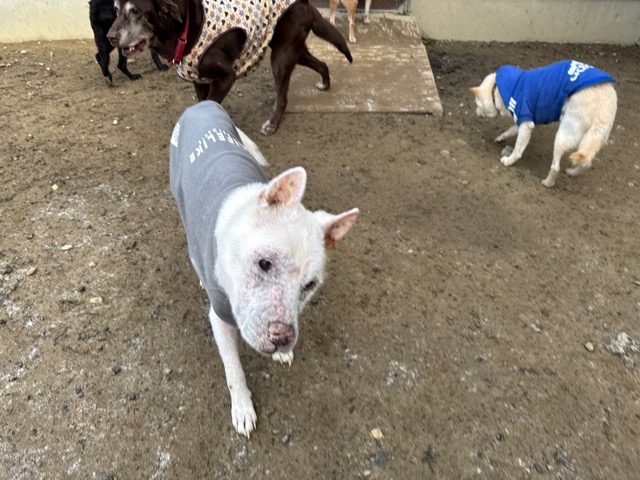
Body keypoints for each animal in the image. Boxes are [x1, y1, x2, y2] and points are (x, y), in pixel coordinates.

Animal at [107, 0, 353, 135]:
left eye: (135, 11)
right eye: (116, 9)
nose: (110, 37)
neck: (184, 28)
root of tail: (305, 3)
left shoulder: (226, 77)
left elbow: (211, 101)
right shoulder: (199, 80)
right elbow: (203, 103)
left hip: (281, 57)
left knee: (282, 97)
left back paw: (272, 124)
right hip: (293, 51)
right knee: (321, 63)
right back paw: (325, 83)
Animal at [170, 101, 359, 437]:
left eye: (310, 286)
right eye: (265, 263)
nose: (282, 337)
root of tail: (202, 104)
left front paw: (283, 353)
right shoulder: (219, 319)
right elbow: (234, 370)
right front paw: (243, 409)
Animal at [470, 60, 617, 187]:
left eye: (477, 104)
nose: (476, 113)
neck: (496, 89)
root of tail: (604, 109)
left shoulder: (525, 122)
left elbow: (518, 150)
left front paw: (509, 161)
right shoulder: (527, 121)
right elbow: (511, 129)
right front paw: (501, 137)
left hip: (563, 135)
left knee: (556, 166)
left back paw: (548, 183)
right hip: (591, 139)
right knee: (587, 163)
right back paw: (572, 172)